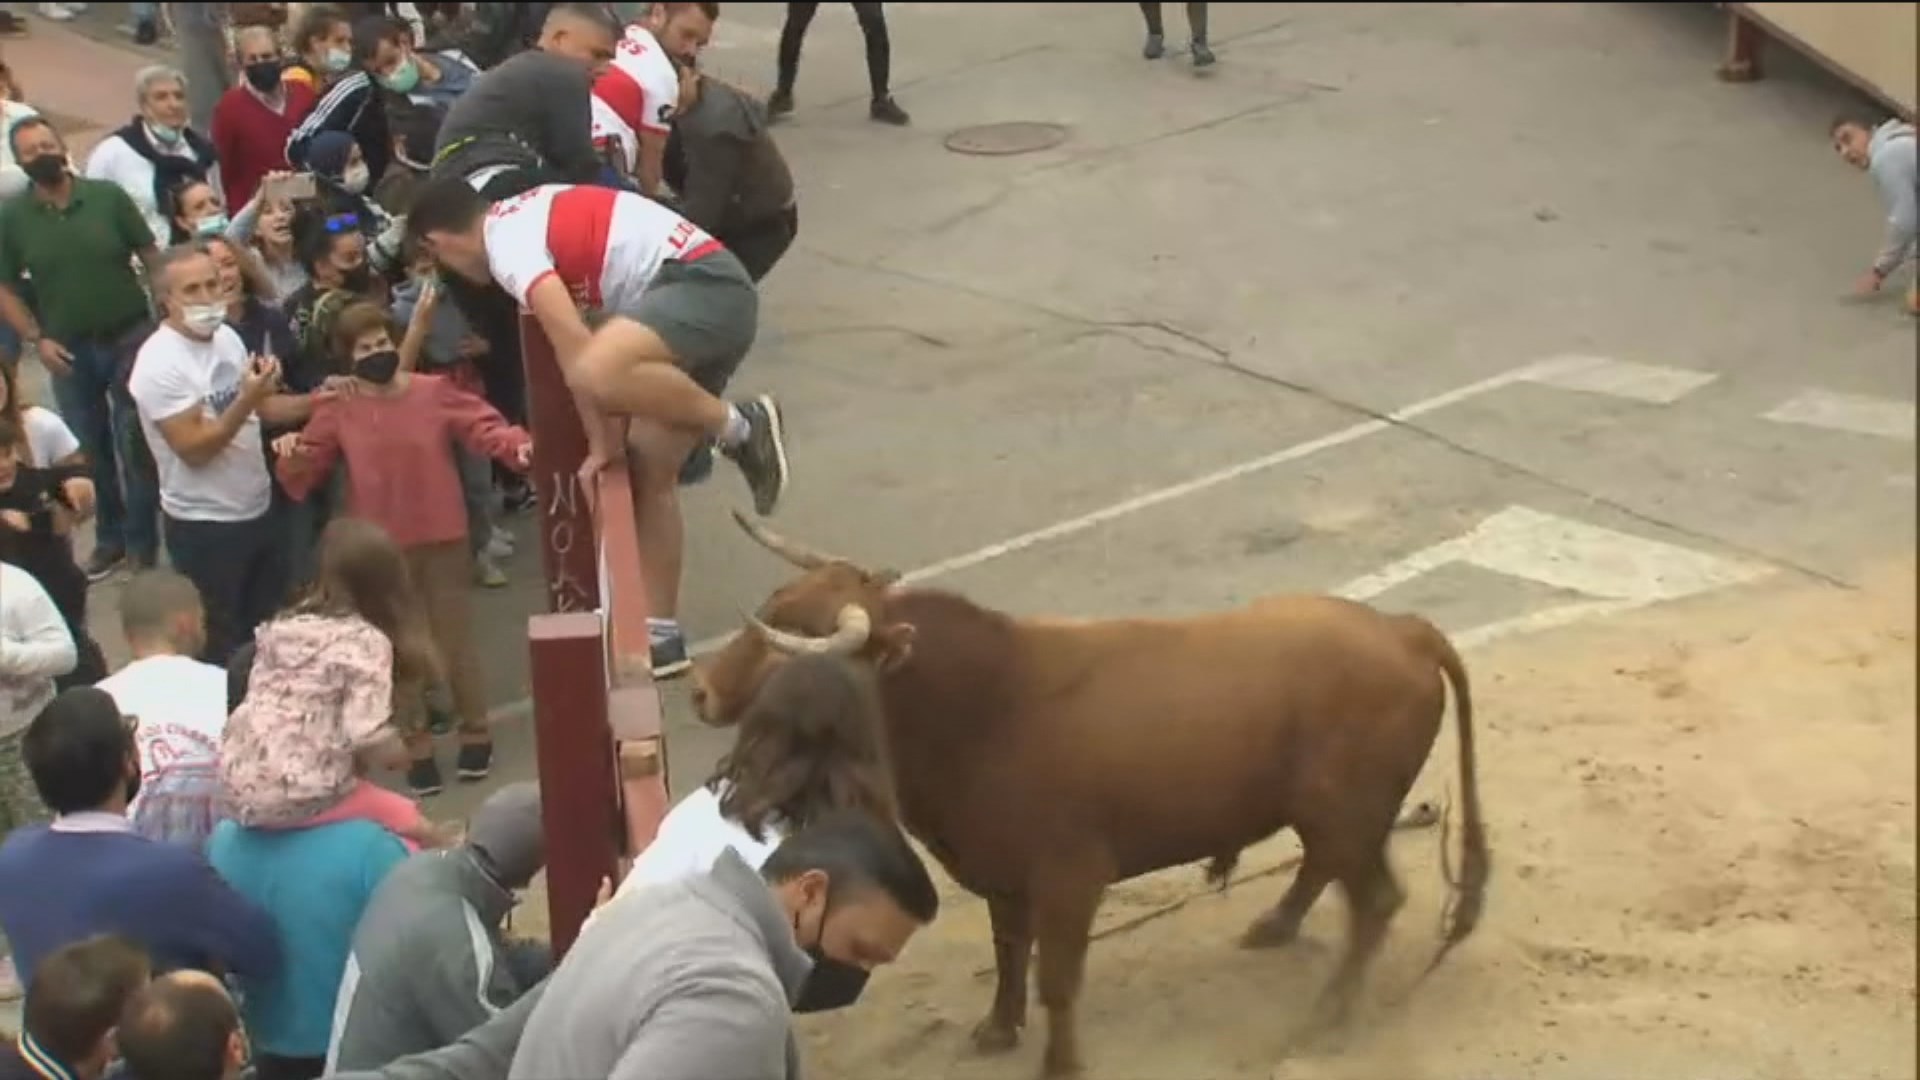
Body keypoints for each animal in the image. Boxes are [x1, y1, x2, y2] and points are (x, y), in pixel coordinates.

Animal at [698, 511, 1489, 1068]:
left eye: (795, 637)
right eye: (775, 601)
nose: (701, 691)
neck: (985, 706)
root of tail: (1403, 629)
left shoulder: (1069, 878)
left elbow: (1056, 977)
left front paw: (1059, 1063)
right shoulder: (1004, 873)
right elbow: (1010, 948)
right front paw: (998, 1028)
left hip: (1347, 812)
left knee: (1374, 900)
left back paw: (1329, 1016)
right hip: (1332, 814)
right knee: (1328, 869)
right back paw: (1277, 927)